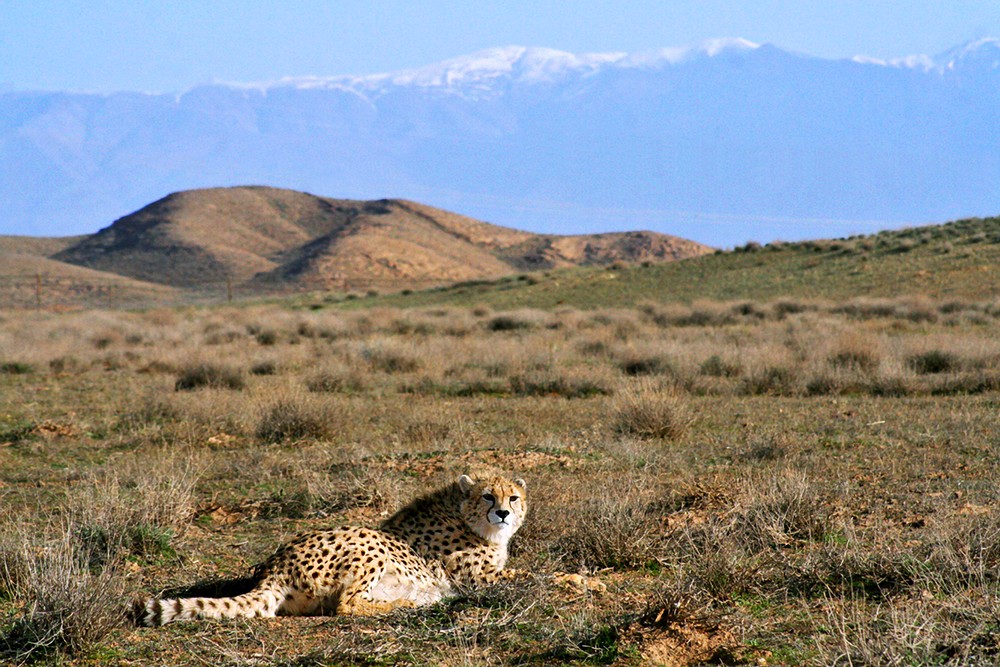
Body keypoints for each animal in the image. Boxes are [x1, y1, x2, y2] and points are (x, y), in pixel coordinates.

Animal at [140, 472, 536, 624]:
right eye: (488, 496)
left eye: (513, 497)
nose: (503, 513)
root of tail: (274, 567)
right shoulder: (476, 577)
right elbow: (531, 574)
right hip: (369, 543)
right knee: (347, 605)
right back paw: (408, 602)